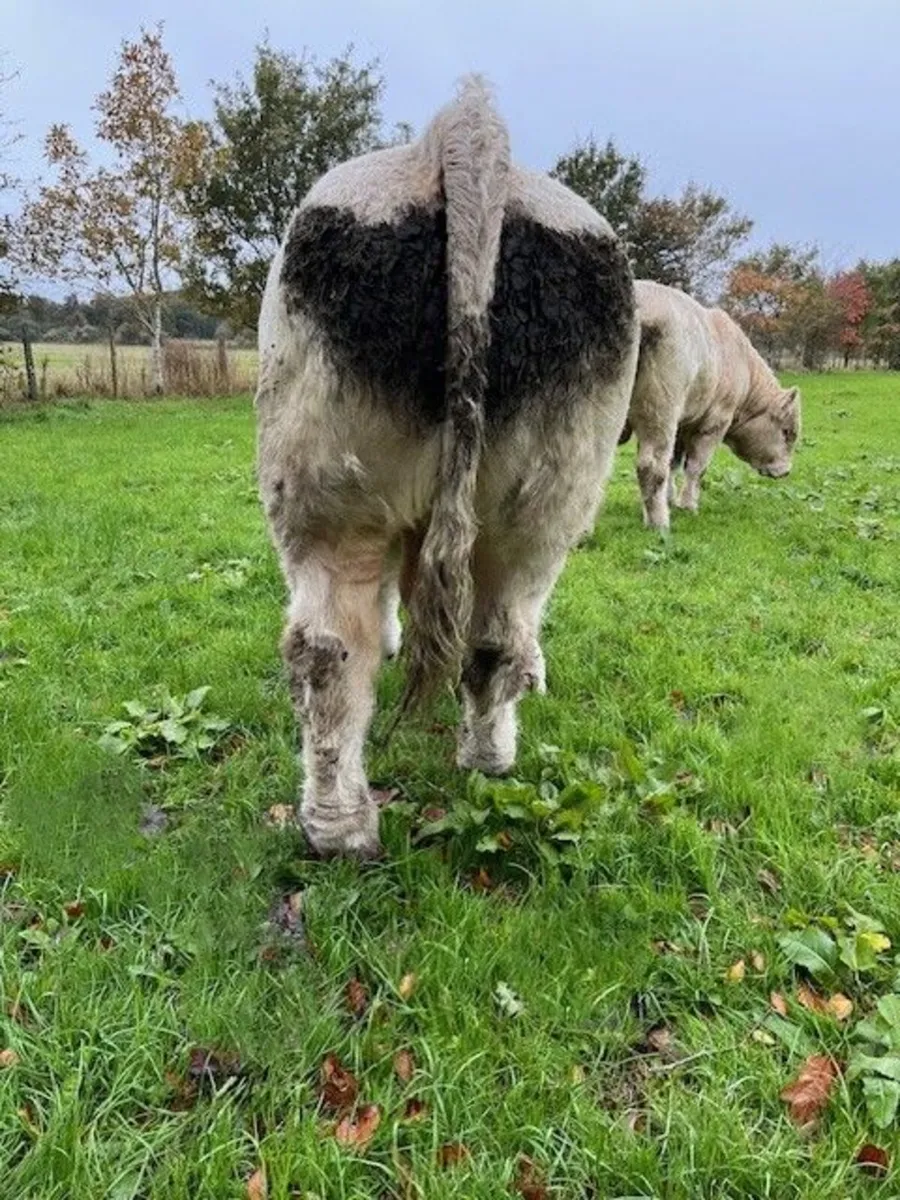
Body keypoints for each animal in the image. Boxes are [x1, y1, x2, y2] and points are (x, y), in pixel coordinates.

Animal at [256, 77, 638, 858]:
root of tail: (455, 141)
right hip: (538, 501)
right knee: (484, 637)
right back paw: (477, 763)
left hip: (334, 490)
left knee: (335, 648)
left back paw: (345, 823)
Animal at [620, 280, 801, 530]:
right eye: (787, 432)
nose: (785, 471)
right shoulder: (713, 423)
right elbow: (697, 467)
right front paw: (688, 505)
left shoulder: (682, 425)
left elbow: (673, 464)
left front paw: (671, 498)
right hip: (658, 411)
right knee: (651, 466)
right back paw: (659, 523)